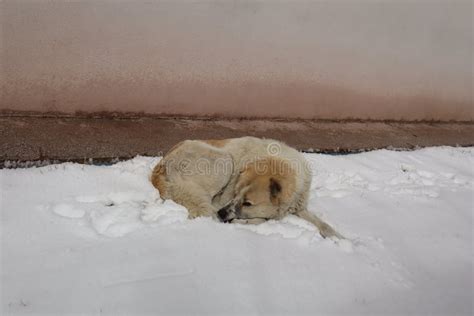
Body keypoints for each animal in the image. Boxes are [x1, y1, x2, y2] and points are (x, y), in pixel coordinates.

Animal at [151, 137, 340, 238]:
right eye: (235, 193)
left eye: (248, 203)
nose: (221, 214)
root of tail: (160, 168)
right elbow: (264, 219)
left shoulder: (299, 206)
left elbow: (325, 225)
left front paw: (340, 239)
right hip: (224, 160)